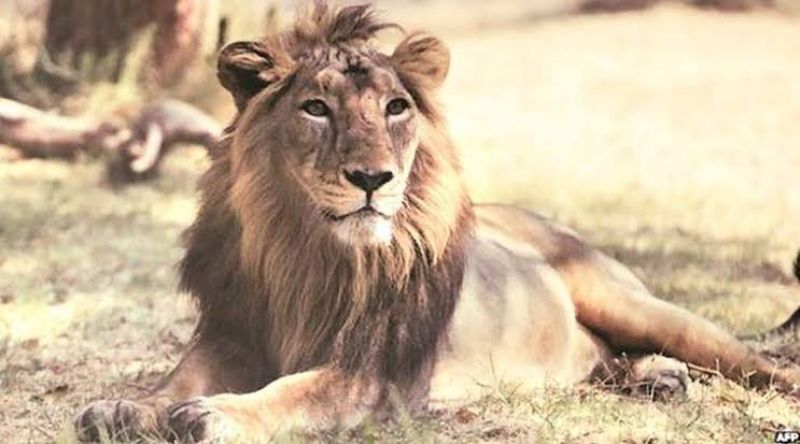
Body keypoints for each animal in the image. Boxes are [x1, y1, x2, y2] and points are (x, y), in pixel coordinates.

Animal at [74, 3, 800, 442]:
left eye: (395, 107)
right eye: (316, 109)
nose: (373, 179)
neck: (304, 250)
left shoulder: (371, 376)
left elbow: (292, 392)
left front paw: (217, 413)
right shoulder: (230, 333)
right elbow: (177, 378)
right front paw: (126, 407)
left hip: (636, 304)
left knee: (749, 360)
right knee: (609, 360)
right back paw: (656, 379)